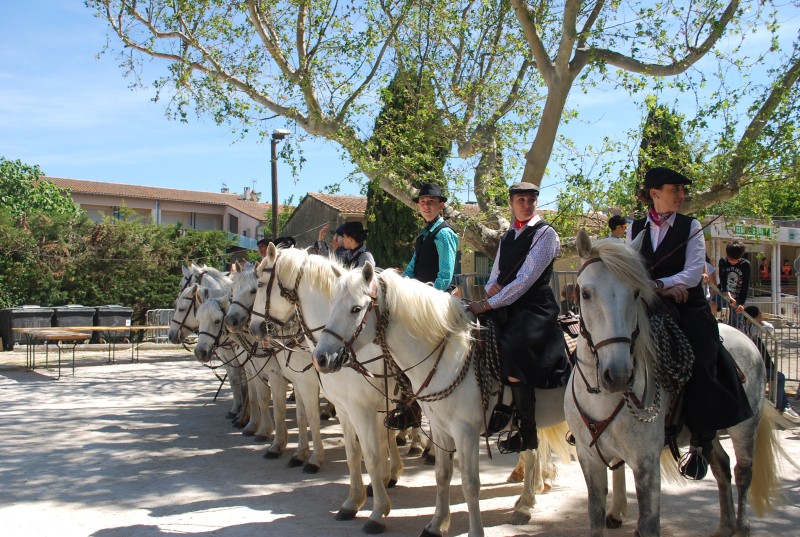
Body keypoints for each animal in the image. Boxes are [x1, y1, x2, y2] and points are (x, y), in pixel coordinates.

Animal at [222, 262, 324, 468]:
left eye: (254, 290)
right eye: (233, 292)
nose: (230, 321)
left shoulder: (283, 378)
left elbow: (280, 409)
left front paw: (277, 445)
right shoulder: (261, 371)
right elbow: (262, 400)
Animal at [248, 245, 406, 532]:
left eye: (260, 284)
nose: (254, 328)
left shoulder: (361, 408)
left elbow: (371, 454)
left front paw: (378, 512)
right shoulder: (344, 408)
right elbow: (353, 452)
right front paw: (353, 501)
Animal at [314, 262, 576, 536]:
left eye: (356, 309)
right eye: (331, 305)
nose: (321, 358)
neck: (449, 355)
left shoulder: (465, 431)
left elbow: (470, 483)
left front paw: (475, 531)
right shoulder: (439, 429)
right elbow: (442, 474)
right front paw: (436, 524)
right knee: (532, 450)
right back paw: (525, 502)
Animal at [568, 232, 780, 536]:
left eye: (636, 293)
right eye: (585, 293)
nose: (618, 374)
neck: (602, 398)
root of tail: (747, 339)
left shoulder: (645, 463)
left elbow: (649, 524)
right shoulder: (589, 459)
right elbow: (595, 519)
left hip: (745, 426)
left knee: (743, 473)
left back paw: (741, 527)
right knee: (722, 466)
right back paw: (724, 526)